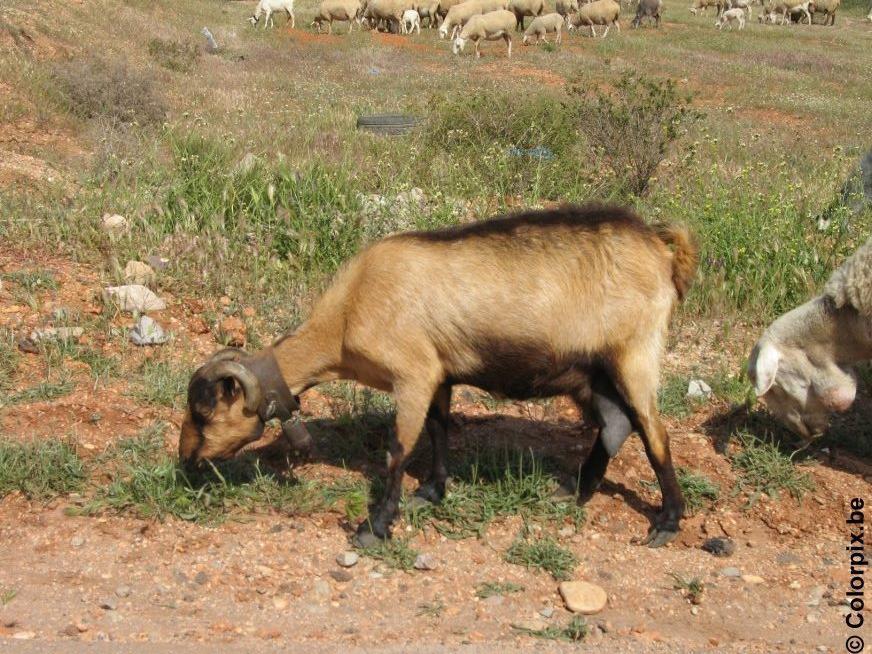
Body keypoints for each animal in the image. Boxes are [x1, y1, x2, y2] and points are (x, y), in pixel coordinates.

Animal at [179, 205, 698, 549]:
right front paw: (431, 492)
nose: (186, 460)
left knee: (654, 432)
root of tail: (660, 248)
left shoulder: (414, 373)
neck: (347, 313)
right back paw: (574, 489)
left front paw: (376, 527)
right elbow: (438, 429)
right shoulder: (440, 375)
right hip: (593, 371)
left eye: (204, 414)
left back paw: (667, 522)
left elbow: (399, 447)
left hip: (635, 353)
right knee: (616, 423)